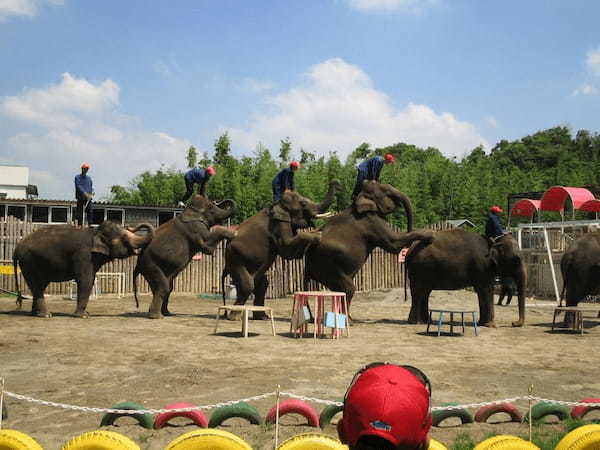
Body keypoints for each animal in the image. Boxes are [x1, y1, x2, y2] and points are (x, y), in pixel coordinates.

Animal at [12, 220, 154, 318]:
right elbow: (86, 280)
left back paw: (35, 314)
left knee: (40, 285)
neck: (95, 232)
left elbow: (90, 280)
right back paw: (46, 315)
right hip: (29, 261)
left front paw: (87, 313)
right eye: (124, 238)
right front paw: (83, 316)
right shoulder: (84, 255)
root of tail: (17, 247)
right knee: (36, 285)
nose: (129, 225)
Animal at [221, 178, 342, 318]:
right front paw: (317, 235)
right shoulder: (278, 223)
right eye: (303, 204)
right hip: (235, 257)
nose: (335, 181)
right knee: (248, 285)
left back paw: (263, 317)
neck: (278, 204)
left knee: (261, 284)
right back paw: (234, 317)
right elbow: (287, 250)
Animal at [304, 179, 432, 310]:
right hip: (328, 265)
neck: (361, 198)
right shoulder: (372, 221)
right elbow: (393, 244)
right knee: (348, 289)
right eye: (387, 193)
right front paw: (429, 235)